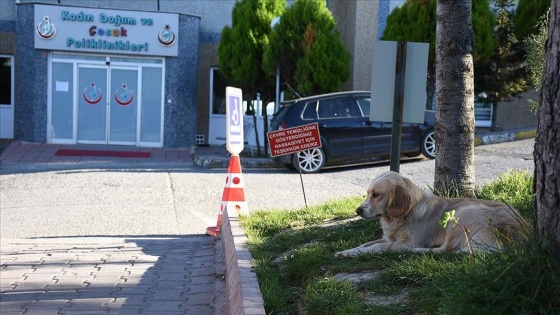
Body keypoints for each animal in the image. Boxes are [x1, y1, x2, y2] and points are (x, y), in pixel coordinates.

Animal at [334, 172, 528, 258]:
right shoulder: (389, 238)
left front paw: (352, 253)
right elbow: (367, 243)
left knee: (446, 250)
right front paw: (347, 251)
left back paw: (417, 252)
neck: (400, 216)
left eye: (376, 194)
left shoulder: (406, 242)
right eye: (367, 194)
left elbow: (376, 247)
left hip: (463, 212)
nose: (357, 210)